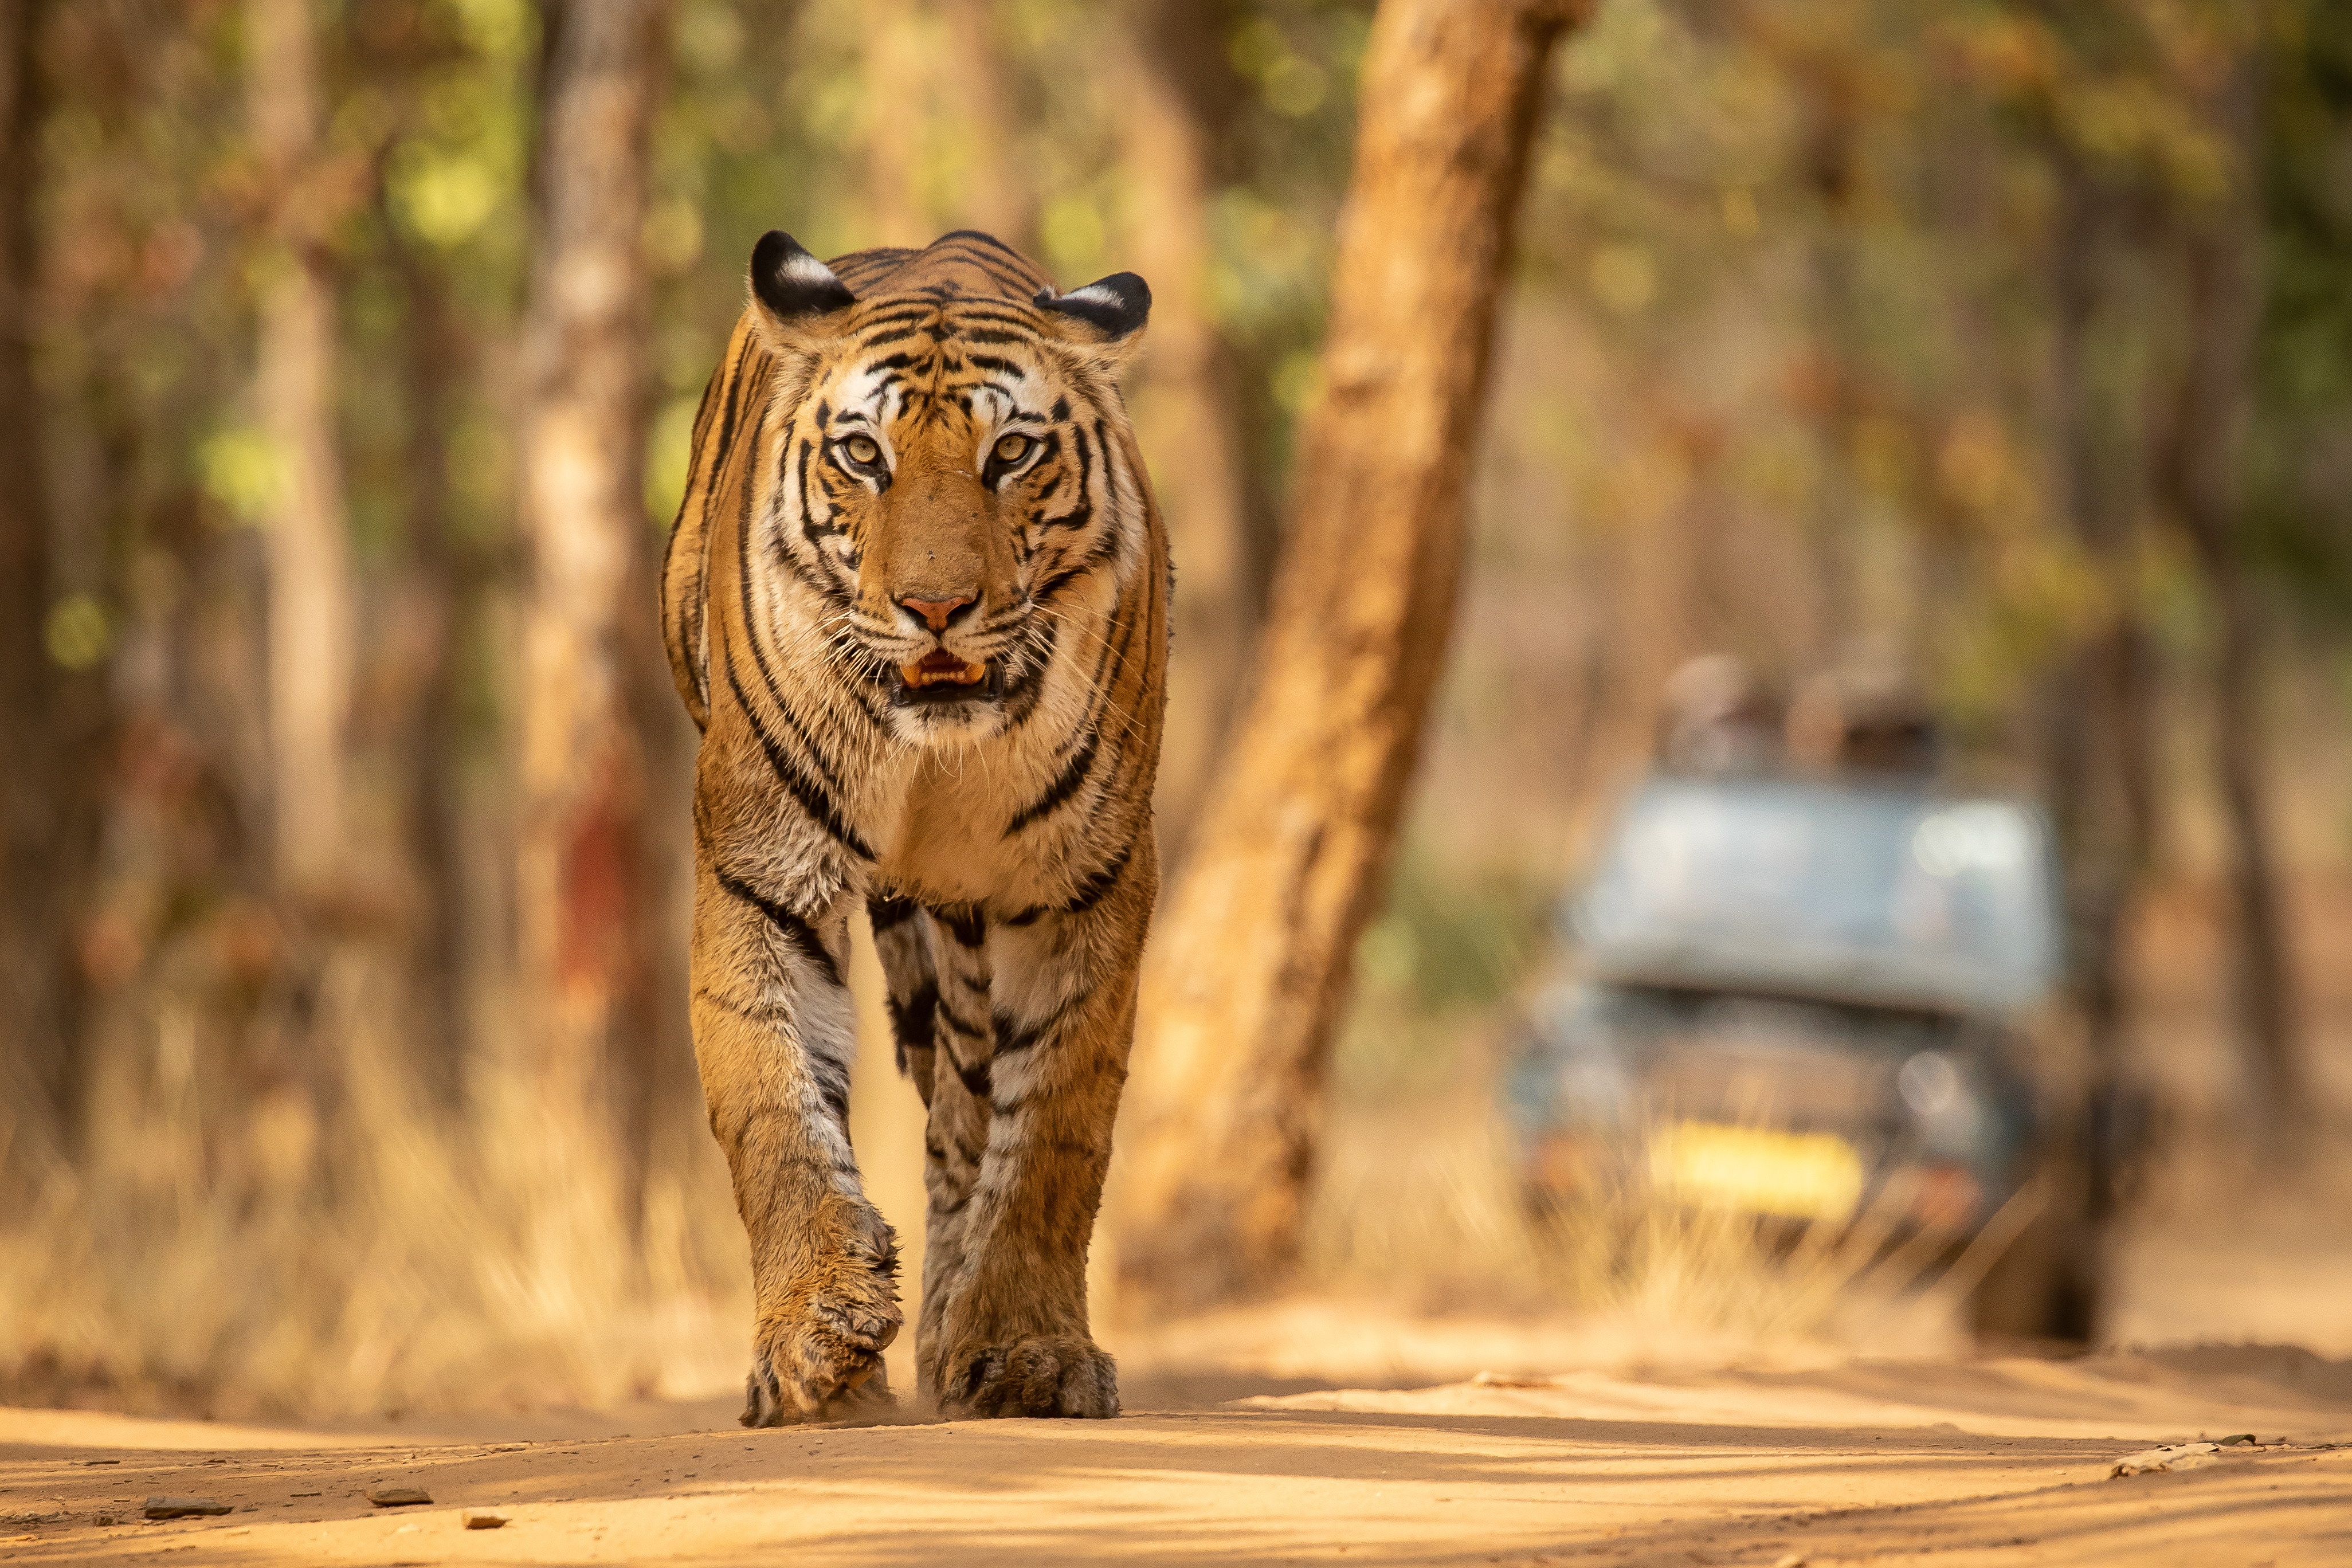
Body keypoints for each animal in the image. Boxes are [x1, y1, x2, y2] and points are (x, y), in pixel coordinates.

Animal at [658, 228, 1167, 1424]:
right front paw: (814, 1341)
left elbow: (1054, 1130)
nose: (935, 609)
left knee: (964, 1121)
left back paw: (952, 1334)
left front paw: (1028, 1350)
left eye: (1011, 453)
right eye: (862, 455)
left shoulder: (1086, 882)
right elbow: (774, 1105)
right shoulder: (758, 870)